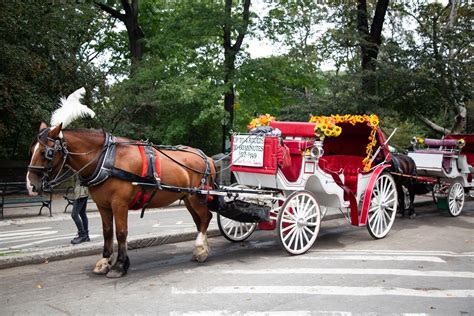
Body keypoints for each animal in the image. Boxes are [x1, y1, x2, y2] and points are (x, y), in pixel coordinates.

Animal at [26, 122, 216, 278]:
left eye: (47, 152)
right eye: (31, 150)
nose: (30, 186)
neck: (106, 160)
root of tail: (206, 156)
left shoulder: (119, 204)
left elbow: (121, 233)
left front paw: (119, 265)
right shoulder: (103, 205)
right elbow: (108, 232)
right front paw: (105, 262)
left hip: (196, 197)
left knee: (206, 217)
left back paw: (200, 250)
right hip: (187, 198)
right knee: (199, 221)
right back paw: (203, 248)